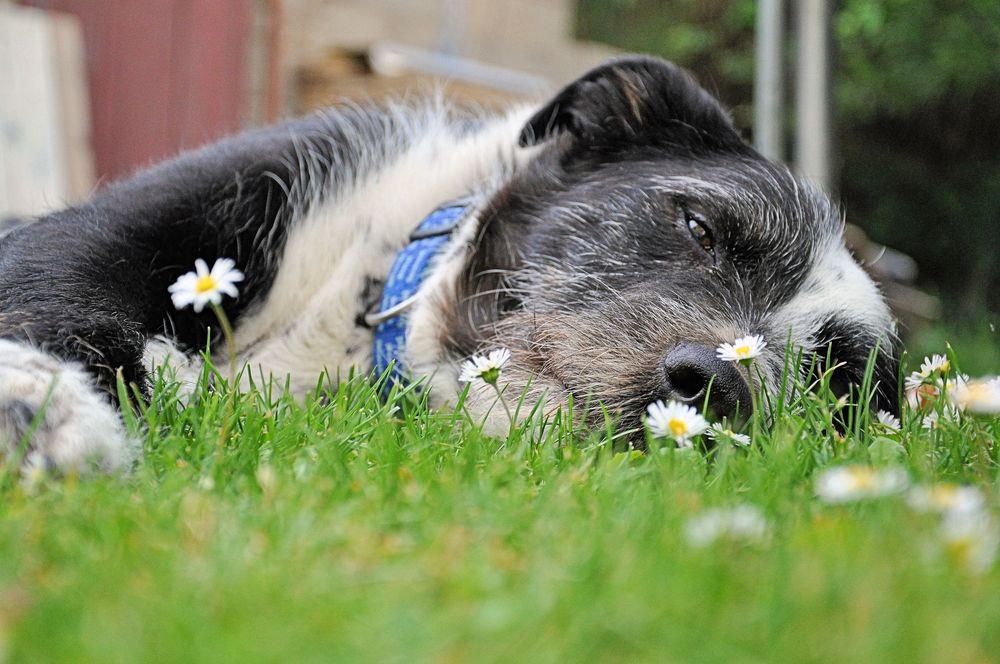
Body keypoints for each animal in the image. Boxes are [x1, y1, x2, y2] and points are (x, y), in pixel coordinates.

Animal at [0, 57, 900, 472]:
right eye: (699, 226)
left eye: (833, 385)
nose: (714, 383)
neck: (360, 316)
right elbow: (58, 303)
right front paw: (41, 407)